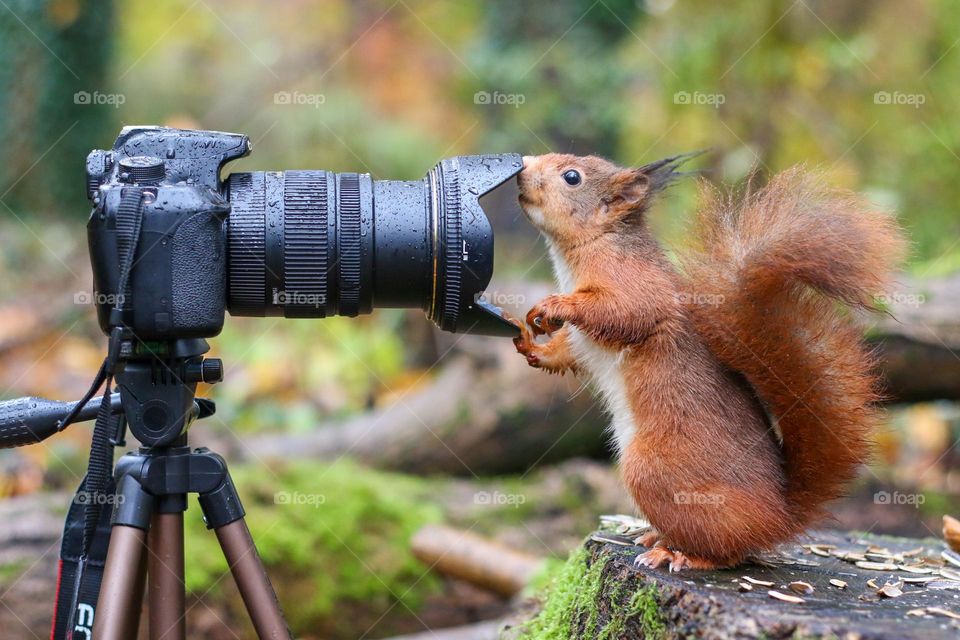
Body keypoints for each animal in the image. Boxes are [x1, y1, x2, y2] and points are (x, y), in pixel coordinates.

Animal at [512, 154, 904, 568]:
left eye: (572, 177)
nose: (522, 165)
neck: (593, 245)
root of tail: (779, 518)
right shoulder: (580, 341)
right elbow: (564, 353)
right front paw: (527, 340)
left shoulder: (634, 283)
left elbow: (627, 312)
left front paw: (556, 305)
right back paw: (654, 536)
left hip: (652, 471)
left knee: (726, 552)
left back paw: (678, 554)